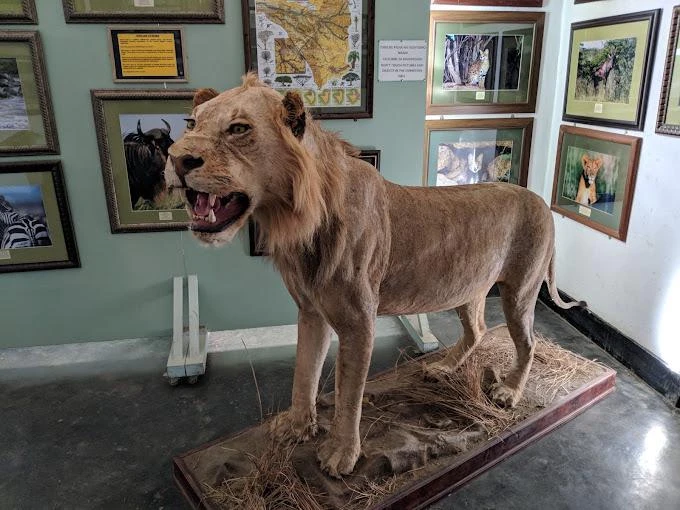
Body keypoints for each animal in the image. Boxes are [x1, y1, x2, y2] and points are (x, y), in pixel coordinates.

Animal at [165, 74, 585, 478]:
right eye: (191, 123)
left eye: (238, 128)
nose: (178, 159)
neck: (300, 221)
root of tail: (541, 202)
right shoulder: (311, 312)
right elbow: (304, 372)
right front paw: (297, 427)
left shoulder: (358, 322)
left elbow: (348, 392)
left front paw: (340, 455)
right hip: (469, 287)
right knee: (478, 330)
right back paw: (443, 367)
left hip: (519, 291)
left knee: (528, 341)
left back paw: (509, 392)